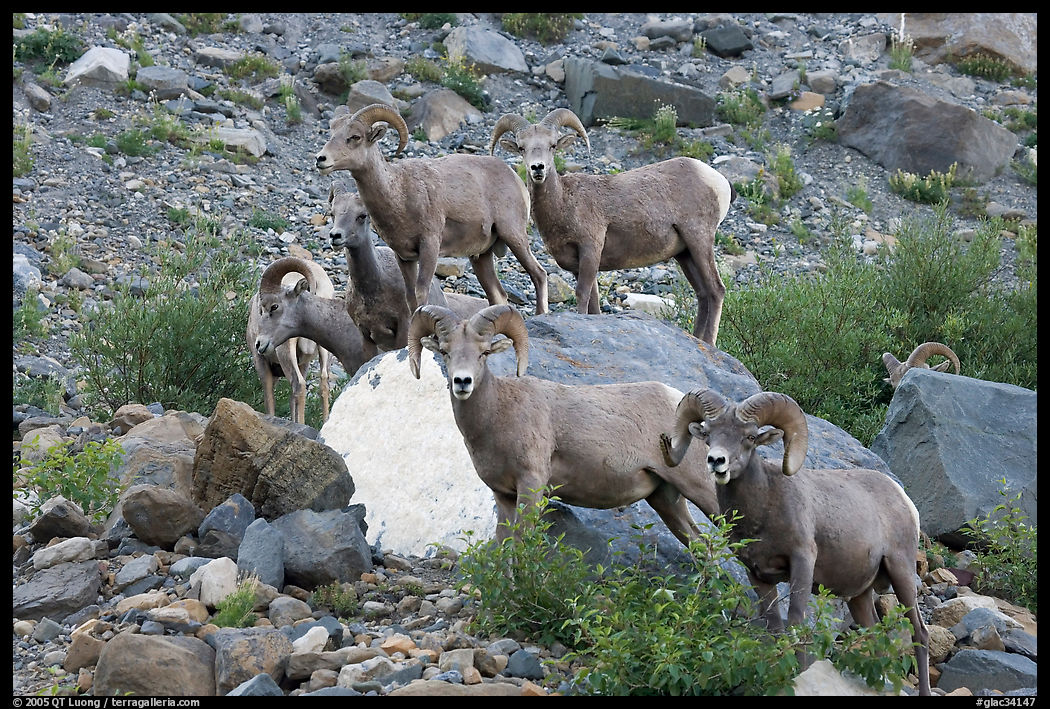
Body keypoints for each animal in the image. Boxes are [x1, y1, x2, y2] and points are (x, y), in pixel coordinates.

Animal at [246, 258, 334, 425]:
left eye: (273, 306)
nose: (259, 344)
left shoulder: (261, 361)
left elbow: (269, 397)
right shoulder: (303, 363)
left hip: (285, 351)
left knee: (299, 384)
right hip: (323, 351)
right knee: (324, 383)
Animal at [315, 103, 549, 318]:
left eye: (355, 136)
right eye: (332, 133)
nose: (321, 159)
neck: (399, 194)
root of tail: (515, 178)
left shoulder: (430, 246)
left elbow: (421, 293)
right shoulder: (404, 257)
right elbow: (410, 297)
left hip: (514, 236)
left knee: (539, 274)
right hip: (481, 256)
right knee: (498, 295)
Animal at [406, 303, 719, 546]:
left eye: (483, 353)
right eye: (445, 352)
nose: (462, 382)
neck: (498, 415)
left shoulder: (531, 486)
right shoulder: (503, 495)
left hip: (702, 488)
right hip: (666, 499)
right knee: (702, 547)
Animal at [490, 108, 734, 345]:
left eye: (552, 145)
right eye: (522, 148)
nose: (537, 168)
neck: (564, 202)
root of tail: (717, 180)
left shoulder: (590, 250)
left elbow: (582, 295)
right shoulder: (580, 265)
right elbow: (594, 303)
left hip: (699, 240)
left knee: (716, 290)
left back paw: (709, 342)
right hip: (684, 254)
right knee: (703, 293)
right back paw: (698, 340)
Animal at [659, 388, 931, 695]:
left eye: (749, 437)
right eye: (707, 434)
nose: (716, 461)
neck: (765, 509)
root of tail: (903, 498)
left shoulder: (802, 562)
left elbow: (797, 621)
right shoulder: (758, 575)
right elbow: (775, 627)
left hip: (901, 571)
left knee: (920, 632)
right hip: (860, 595)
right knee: (874, 635)